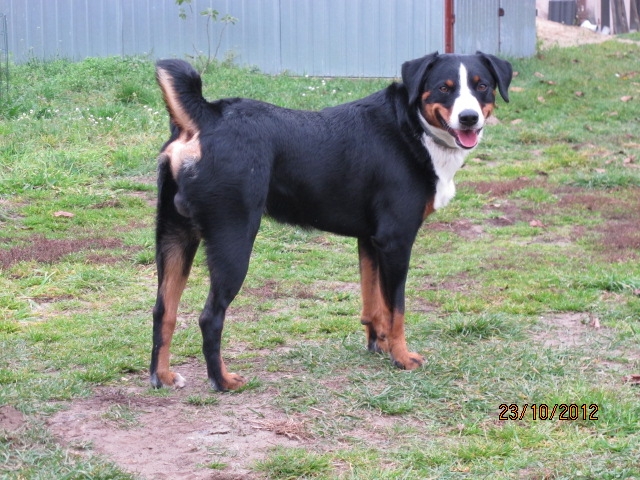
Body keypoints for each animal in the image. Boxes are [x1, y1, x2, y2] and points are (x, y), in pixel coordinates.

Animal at [150, 52, 512, 391]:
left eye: (481, 86)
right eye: (444, 88)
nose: (469, 118)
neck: (411, 127)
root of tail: (206, 117)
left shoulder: (371, 240)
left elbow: (374, 303)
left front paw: (378, 344)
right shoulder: (396, 241)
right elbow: (396, 309)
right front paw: (402, 357)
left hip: (174, 237)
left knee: (163, 310)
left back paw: (162, 376)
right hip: (232, 240)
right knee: (210, 317)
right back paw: (222, 380)